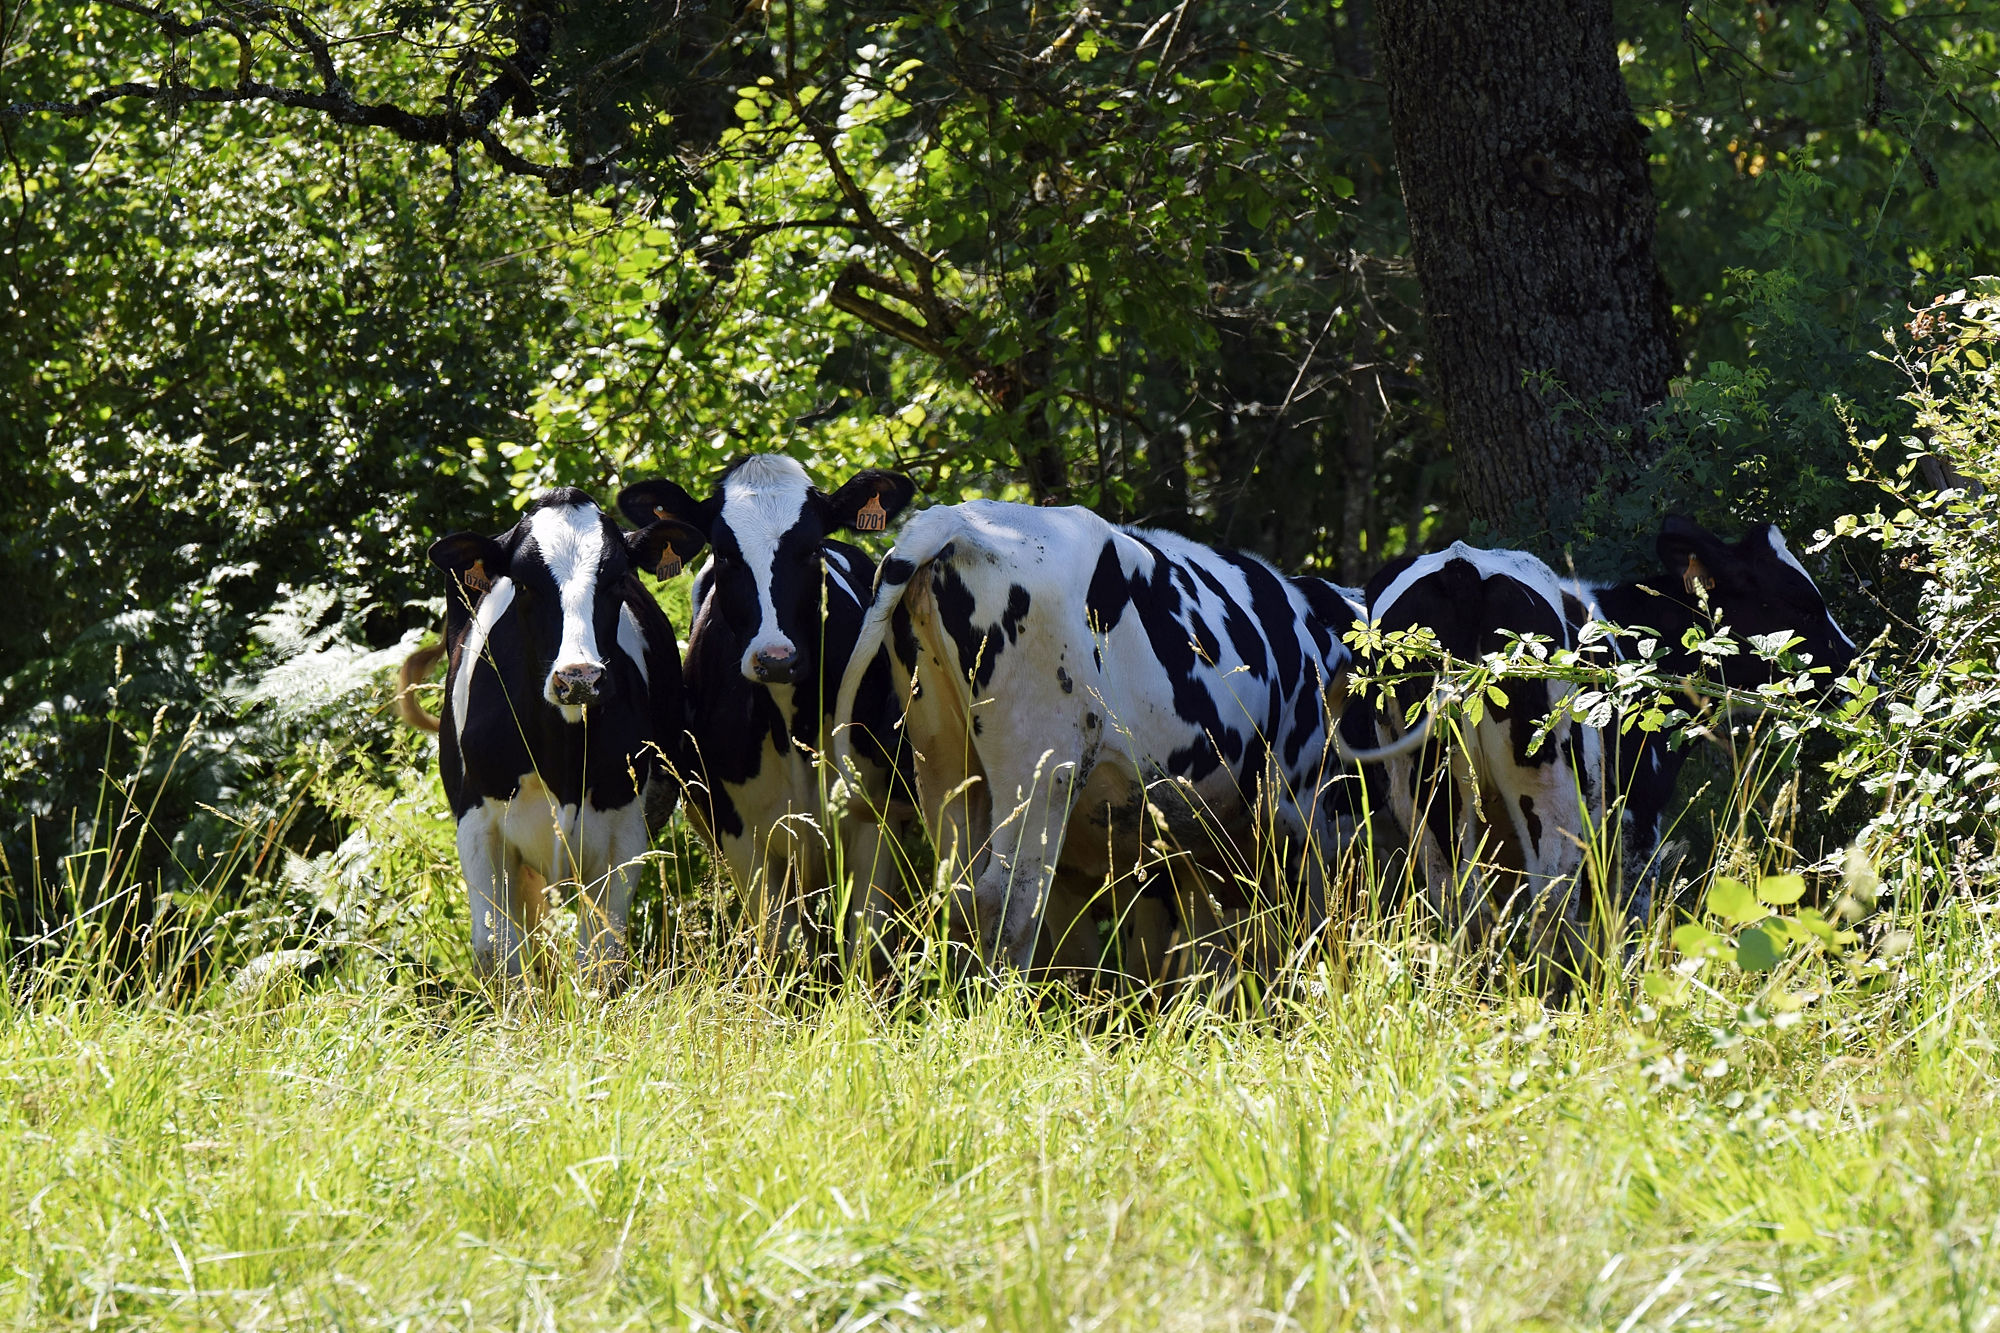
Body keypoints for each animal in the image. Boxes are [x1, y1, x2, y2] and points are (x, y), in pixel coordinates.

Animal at [400, 487, 705, 989]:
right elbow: (499, 954)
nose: (578, 676)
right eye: (524, 585)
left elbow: (601, 957)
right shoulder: (478, 823)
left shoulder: (623, 829)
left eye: (617, 579)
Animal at [613, 455, 918, 966]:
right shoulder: (740, 834)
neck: (790, 723)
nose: (775, 658)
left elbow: (864, 945)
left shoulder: (875, 818)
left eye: (811, 548)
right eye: (724, 552)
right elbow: (782, 947)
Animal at [832, 500, 1366, 981]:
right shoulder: (1297, 816)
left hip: (944, 760)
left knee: (958, 895)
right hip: (1043, 769)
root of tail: (952, 519)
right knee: (1007, 901)